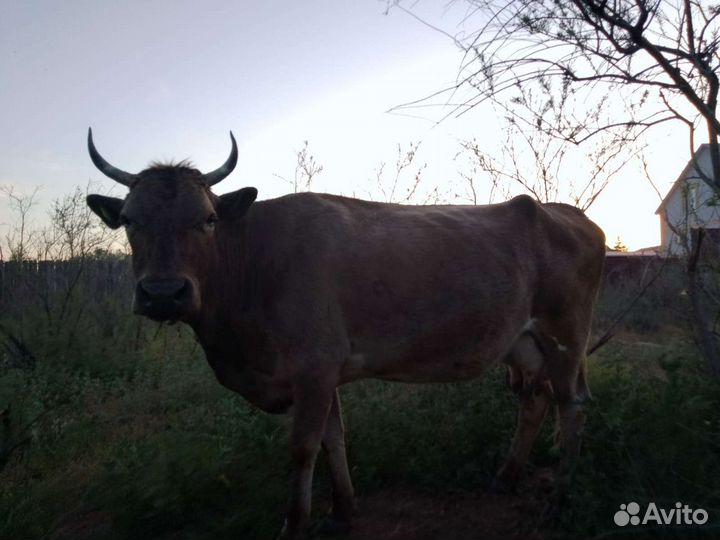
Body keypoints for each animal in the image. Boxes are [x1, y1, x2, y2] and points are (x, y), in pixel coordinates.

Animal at [85, 129, 605, 540]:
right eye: (129, 219)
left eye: (208, 218)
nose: (163, 293)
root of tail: (568, 213)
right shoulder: (324, 373)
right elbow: (334, 438)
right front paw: (342, 511)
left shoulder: (314, 368)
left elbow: (303, 448)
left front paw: (295, 526)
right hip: (524, 343)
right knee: (535, 400)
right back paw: (507, 476)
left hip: (565, 333)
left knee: (573, 405)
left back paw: (558, 498)